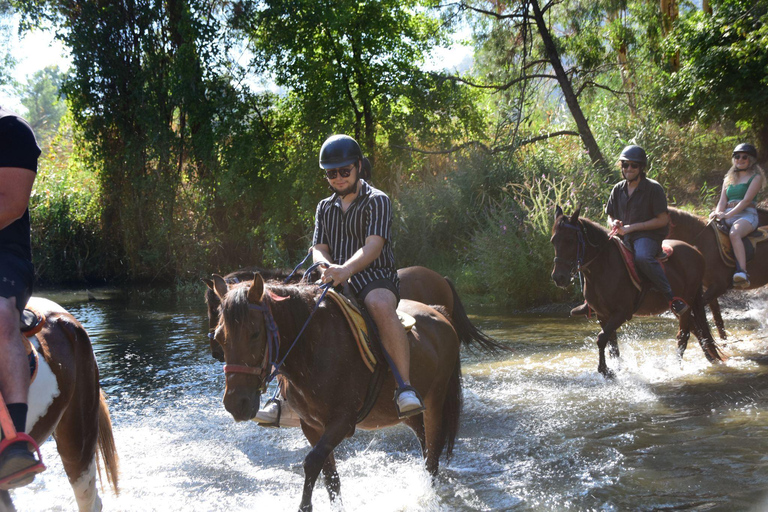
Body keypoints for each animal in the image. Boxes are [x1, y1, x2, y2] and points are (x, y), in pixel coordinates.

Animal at [210, 273, 463, 511]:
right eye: (219, 337)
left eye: (254, 334)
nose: (235, 403)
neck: (312, 349)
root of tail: (440, 313)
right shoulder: (311, 425)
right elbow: (330, 476)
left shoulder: (342, 421)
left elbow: (312, 462)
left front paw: (304, 506)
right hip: (405, 414)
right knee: (424, 442)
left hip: (435, 402)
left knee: (432, 456)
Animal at [550, 206, 722, 377]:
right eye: (553, 241)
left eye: (570, 240)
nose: (558, 277)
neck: (604, 267)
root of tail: (696, 251)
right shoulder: (602, 315)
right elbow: (612, 345)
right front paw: (617, 369)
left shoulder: (621, 313)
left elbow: (601, 338)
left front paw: (605, 370)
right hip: (678, 306)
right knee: (698, 331)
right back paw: (711, 358)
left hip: (688, 300)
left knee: (684, 335)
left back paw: (676, 367)